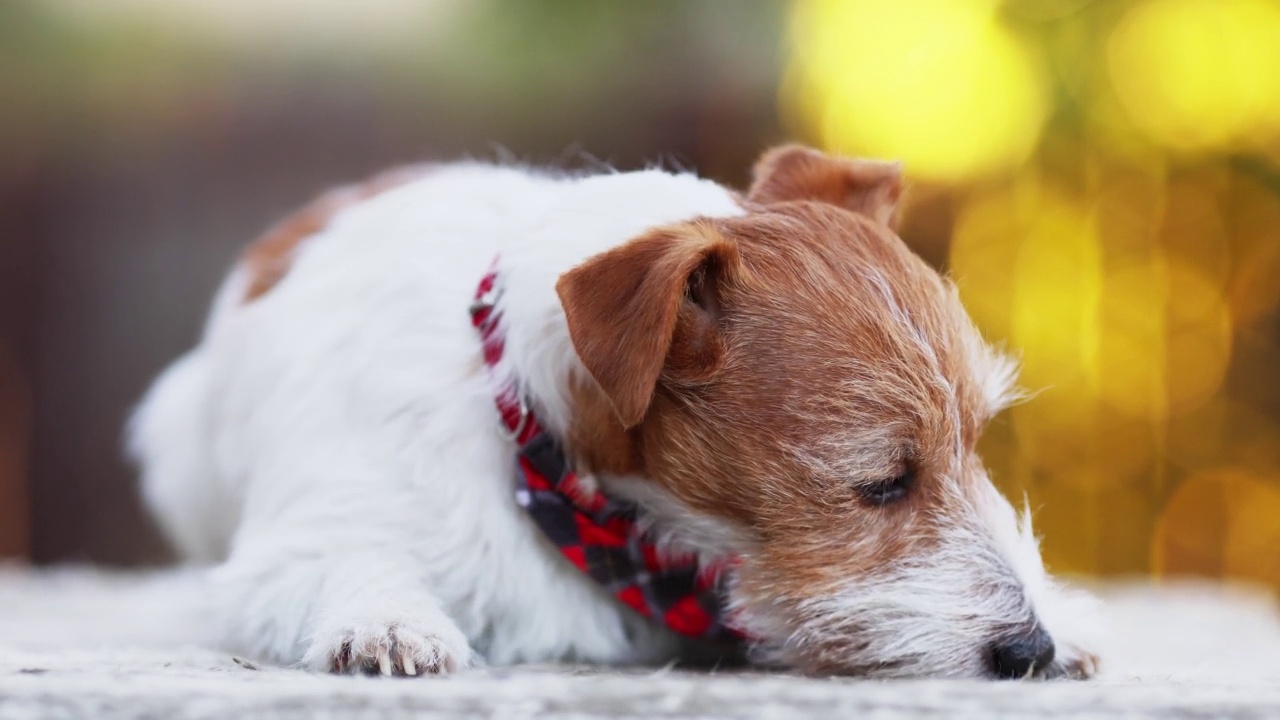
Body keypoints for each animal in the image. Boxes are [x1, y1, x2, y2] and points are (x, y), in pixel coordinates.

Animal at [129, 142, 1100, 676]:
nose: (1031, 649)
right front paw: (387, 622)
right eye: (882, 482)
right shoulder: (301, 540)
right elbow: (351, 562)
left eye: (975, 445)